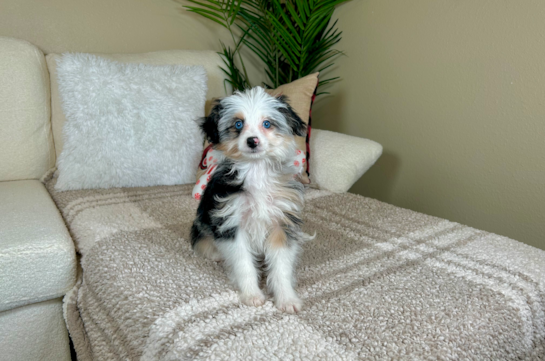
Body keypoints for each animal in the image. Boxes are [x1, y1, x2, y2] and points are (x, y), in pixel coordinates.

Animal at [190, 86, 312, 310]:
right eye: (238, 124)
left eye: (267, 124)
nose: (252, 141)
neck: (257, 171)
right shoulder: (231, 224)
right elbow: (243, 264)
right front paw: (251, 295)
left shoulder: (281, 224)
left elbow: (281, 267)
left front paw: (286, 298)